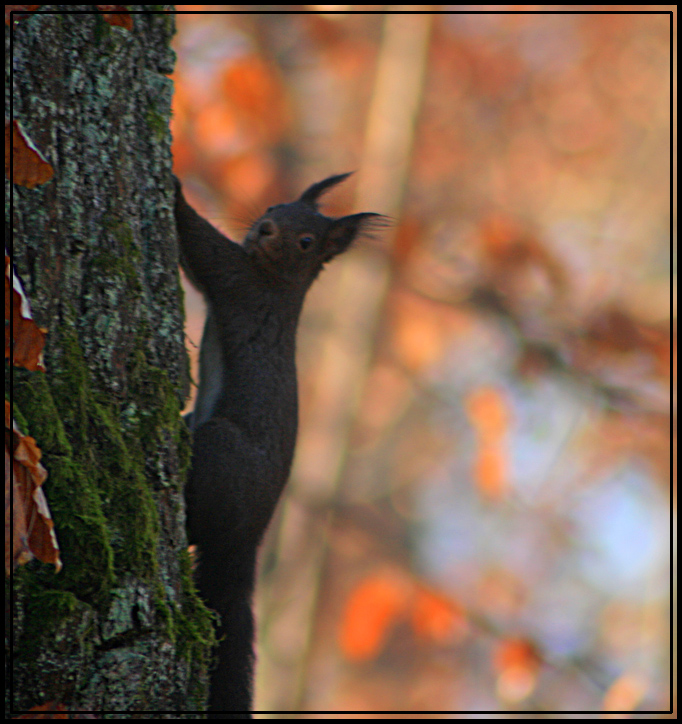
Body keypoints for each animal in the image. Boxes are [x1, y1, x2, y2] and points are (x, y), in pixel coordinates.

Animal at [173, 171, 386, 720]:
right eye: (274, 206)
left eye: (307, 241)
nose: (265, 229)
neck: (279, 281)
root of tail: (249, 538)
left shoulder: (237, 282)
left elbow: (198, 243)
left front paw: (176, 186)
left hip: (221, 456)